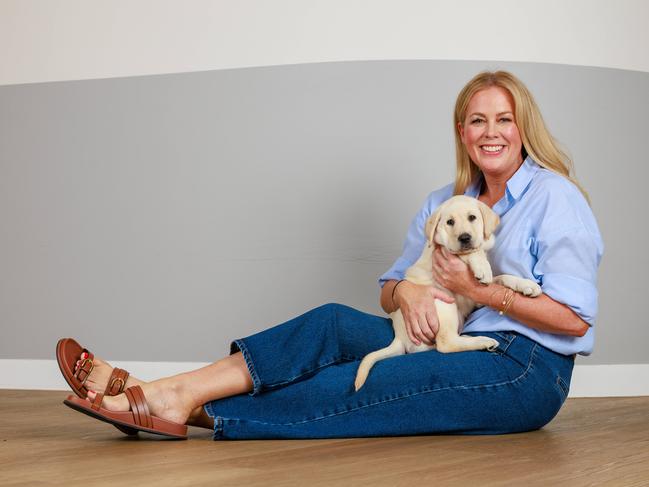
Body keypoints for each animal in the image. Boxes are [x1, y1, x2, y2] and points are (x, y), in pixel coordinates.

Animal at [354, 196, 540, 390]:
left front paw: (526, 285)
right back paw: (483, 341)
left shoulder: (477, 297)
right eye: (450, 222)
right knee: (445, 344)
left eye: (472, 217)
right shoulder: (440, 251)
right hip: (443, 304)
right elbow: (471, 253)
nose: (464, 238)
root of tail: (399, 338)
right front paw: (482, 266)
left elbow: (502, 277)